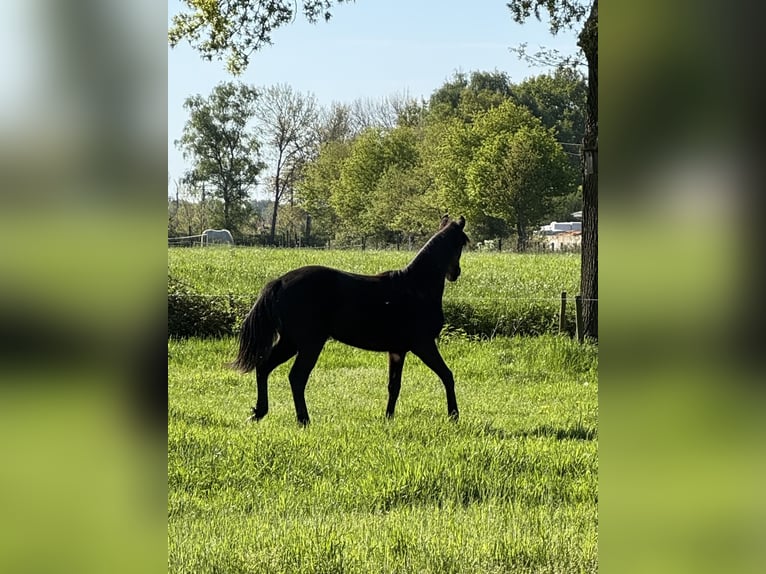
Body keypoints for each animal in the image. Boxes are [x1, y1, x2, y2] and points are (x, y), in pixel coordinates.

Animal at [232, 215, 469, 426]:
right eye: (462, 242)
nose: (455, 273)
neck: (416, 287)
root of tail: (280, 281)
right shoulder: (423, 345)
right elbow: (447, 375)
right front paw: (454, 416)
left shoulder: (397, 350)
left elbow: (394, 386)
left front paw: (388, 418)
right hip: (309, 343)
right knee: (297, 377)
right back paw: (303, 420)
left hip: (290, 341)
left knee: (264, 367)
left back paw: (259, 413)